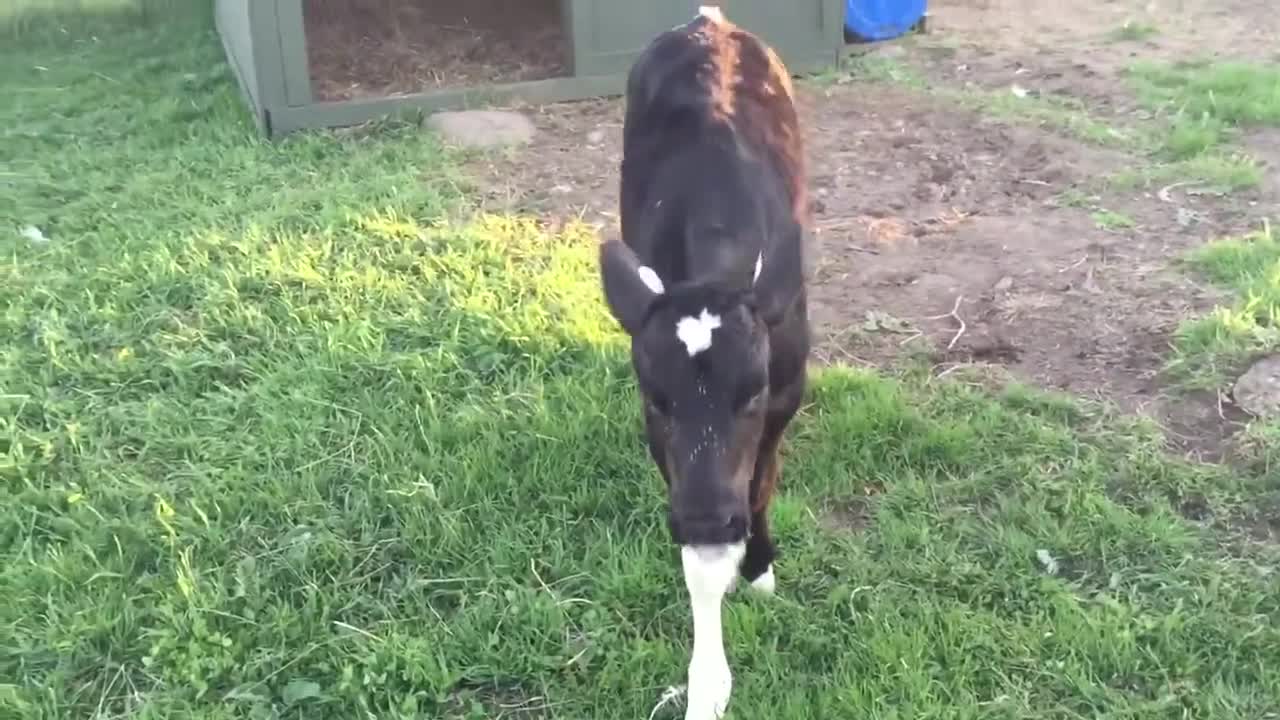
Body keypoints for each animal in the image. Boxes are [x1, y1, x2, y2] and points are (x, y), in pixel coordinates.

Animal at [596, 7, 808, 717]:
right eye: (656, 398)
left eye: (752, 391)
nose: (711, 518)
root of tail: (707, 20)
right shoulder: (671, 457)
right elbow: (701, 563)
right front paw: (707, 687)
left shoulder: (785, 395)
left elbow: (762, 483)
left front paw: (760, 568)